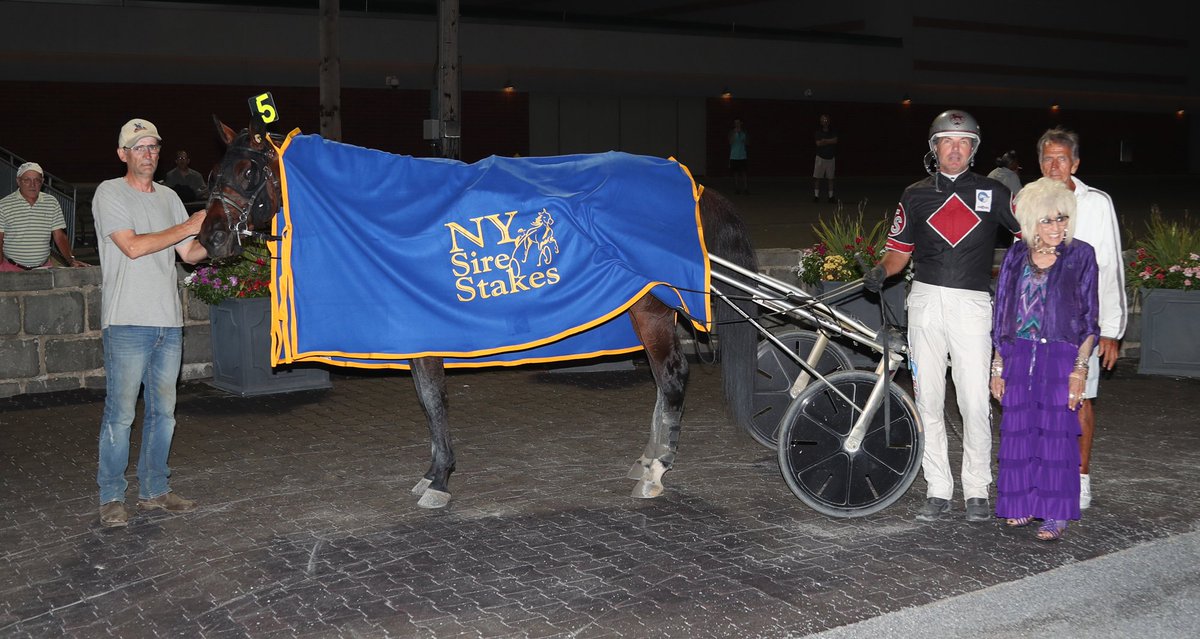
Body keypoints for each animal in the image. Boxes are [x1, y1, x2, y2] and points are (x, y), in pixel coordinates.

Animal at [196, 117, 758, 511]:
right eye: (213, 172)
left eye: (249, 170)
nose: (210, 239)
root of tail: (693, 187)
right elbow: (428, 402)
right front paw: (432, 473)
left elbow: (433, 401)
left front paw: (441, 479)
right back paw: (648, 458)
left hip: (653, 307)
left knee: (672, 375)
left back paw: (657, 469)